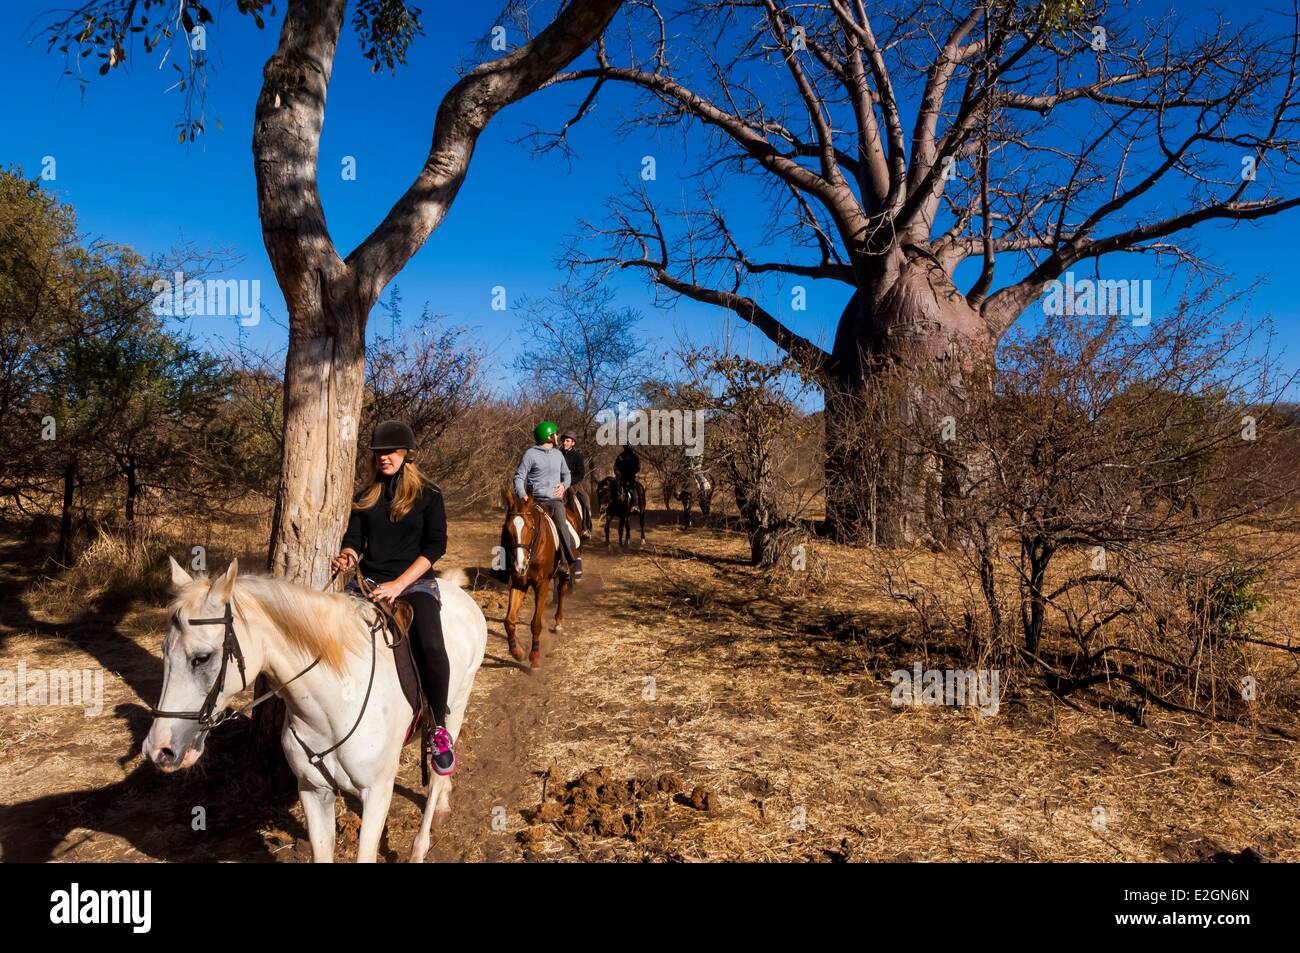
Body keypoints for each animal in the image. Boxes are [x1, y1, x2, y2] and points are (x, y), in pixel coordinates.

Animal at [142, 556, 488, 863]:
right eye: (164, 651)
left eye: (201, 658)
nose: (159, 749)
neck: (334, 704)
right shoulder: (312, 790)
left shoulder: (377, 794)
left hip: (456, 706)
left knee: (438, 769)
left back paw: (422, 841)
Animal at [499, 486, 582, 665]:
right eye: (507, 529)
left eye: (531, 528)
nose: (520, 565)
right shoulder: (519, 582)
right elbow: (509, 621)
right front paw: (517, 652)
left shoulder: (541, 584)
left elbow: (536, 623)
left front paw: (535, 655)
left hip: (567, 570)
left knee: (562, 590)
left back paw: (558, 622)